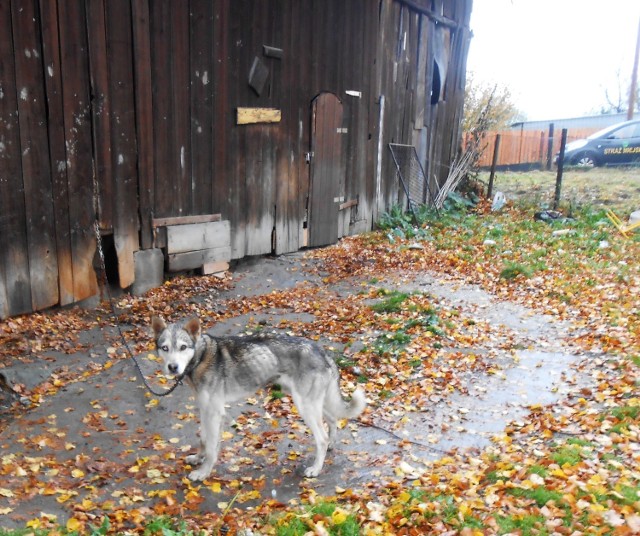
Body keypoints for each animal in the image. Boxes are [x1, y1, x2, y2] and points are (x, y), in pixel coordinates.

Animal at [149, 316, 364, 480]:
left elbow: (211, 448)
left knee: (322, 437)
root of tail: (322, 351)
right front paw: (197, 459)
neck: (201, 357)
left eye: (183, 347)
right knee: (333, 421)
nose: (173, 367)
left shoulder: (214, 413)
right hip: (313, 403)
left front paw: (203, 472)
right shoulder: (205, 409)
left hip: (305, 407)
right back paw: (331, 446)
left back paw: (316, 468)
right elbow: (203, 440)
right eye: (165, 348)